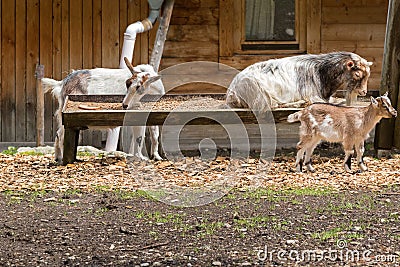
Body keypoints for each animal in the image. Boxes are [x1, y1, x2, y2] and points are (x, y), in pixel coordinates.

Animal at [227, 51, 374, 111]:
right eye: (357, 74)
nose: (364, 92)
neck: (320, 71)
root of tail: (232, 93)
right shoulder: (313, 95)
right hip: (259, 92)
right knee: (273, 105)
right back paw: (301, 103)